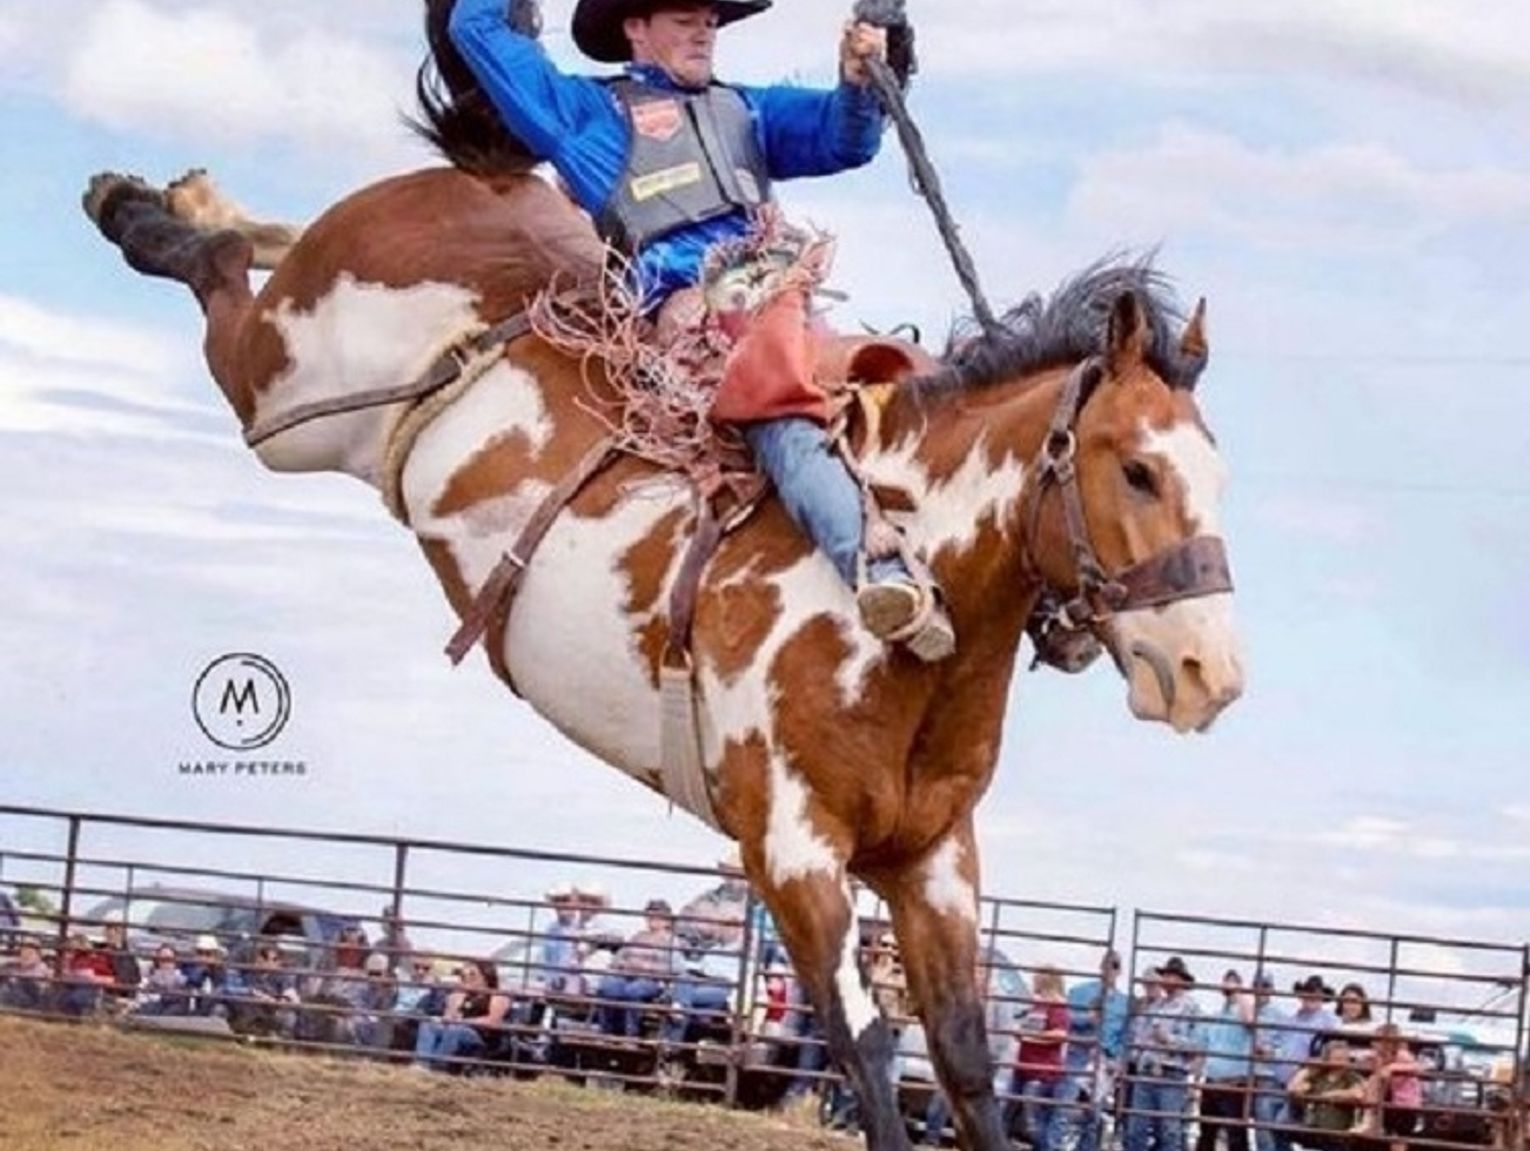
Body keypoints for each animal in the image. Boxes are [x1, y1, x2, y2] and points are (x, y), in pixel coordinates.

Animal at [77, 4, 1242, 1144]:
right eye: (1137, 468)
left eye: (1218, 472)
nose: (1210, 673)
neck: (910, 608)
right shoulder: (793, 850)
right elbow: (869, 1054)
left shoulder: (935, 859)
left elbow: (961, 1058)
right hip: (285, 395)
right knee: (227, 282)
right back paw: (141, 211)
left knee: (259, 240)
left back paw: (191, 193)